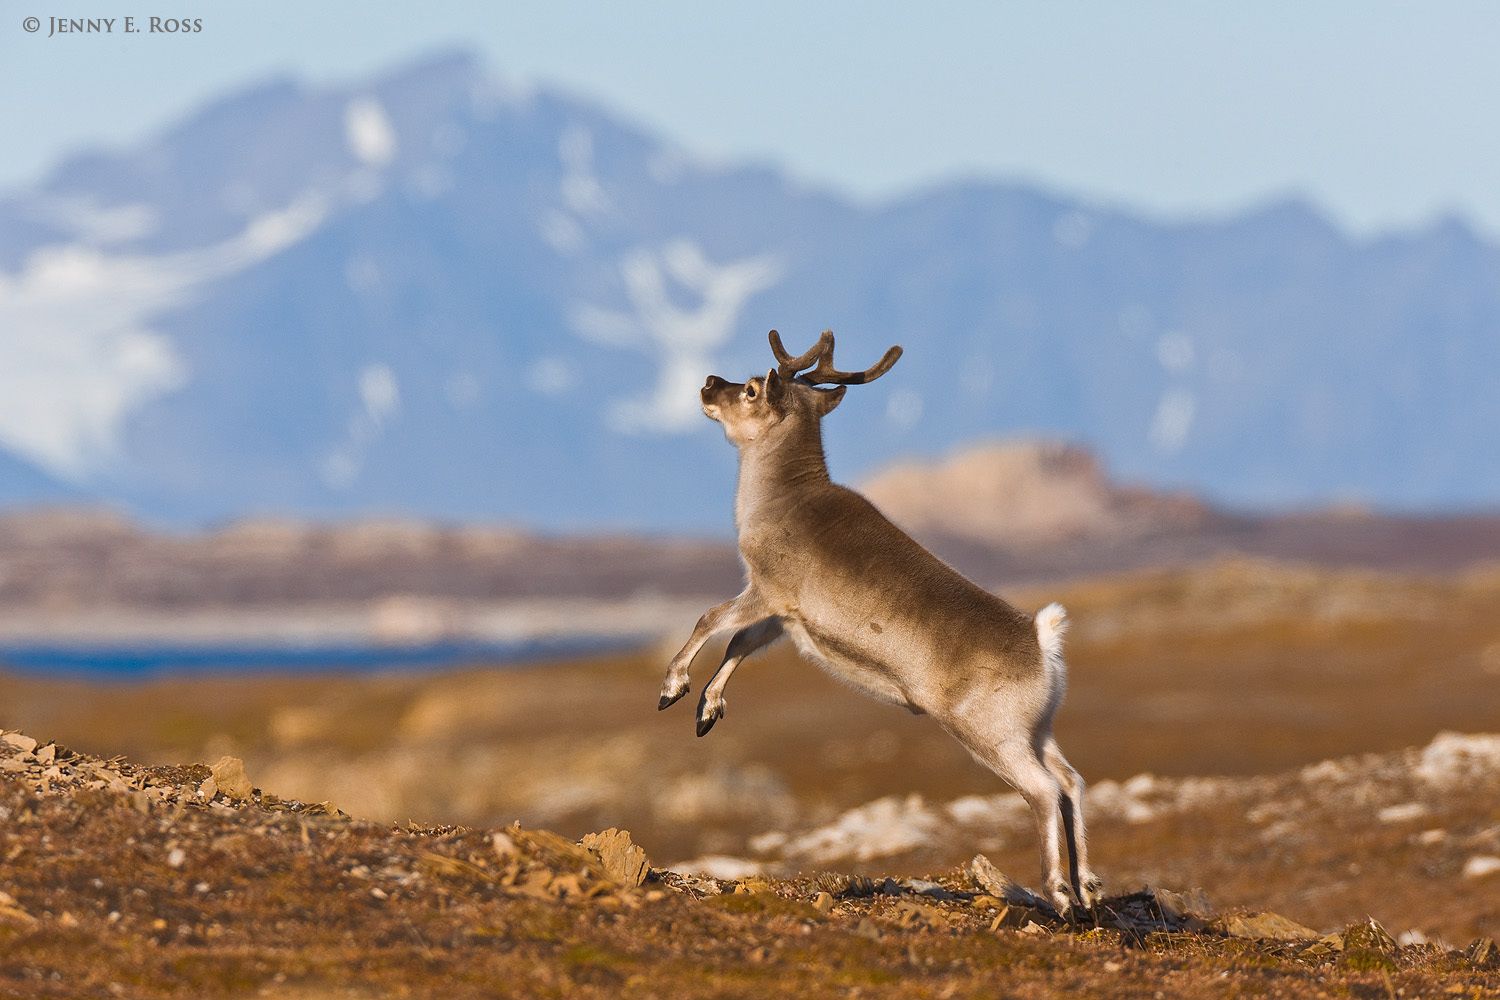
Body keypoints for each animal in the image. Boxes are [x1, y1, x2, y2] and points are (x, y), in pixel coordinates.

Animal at [656, 329, 1102, 914]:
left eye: (751, 389)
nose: (709, 383)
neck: (777, 499)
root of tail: (1043, 644)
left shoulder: (767, 589)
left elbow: (710, 620)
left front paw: (672, 688)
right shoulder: (785, 617)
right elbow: (739, 644)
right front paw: (707, 711)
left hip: (991, 734)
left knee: (1045, 790)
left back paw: (1059, 892)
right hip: (1039, 729)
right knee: (1072, 781)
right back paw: (1088, 886)